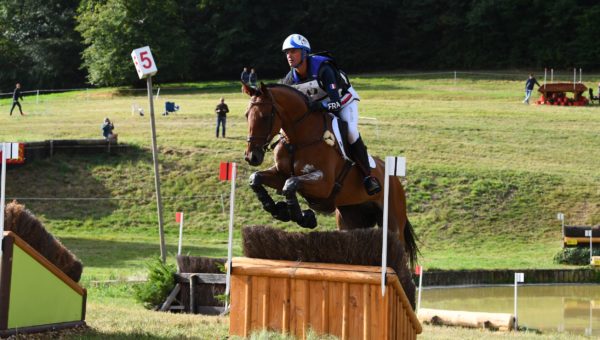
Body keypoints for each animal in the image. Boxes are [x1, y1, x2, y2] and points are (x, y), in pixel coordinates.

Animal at [240, 82, 418, 266]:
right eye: (247, 115)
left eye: (264, 117)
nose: (251, 156)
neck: (297, 138)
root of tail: (395, 178)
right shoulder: (280, 174)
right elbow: (256, 178)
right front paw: (276, 208)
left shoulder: (324, 184)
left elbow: (291, 183)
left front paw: (303, 217)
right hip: (350, 217)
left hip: (392, 221)